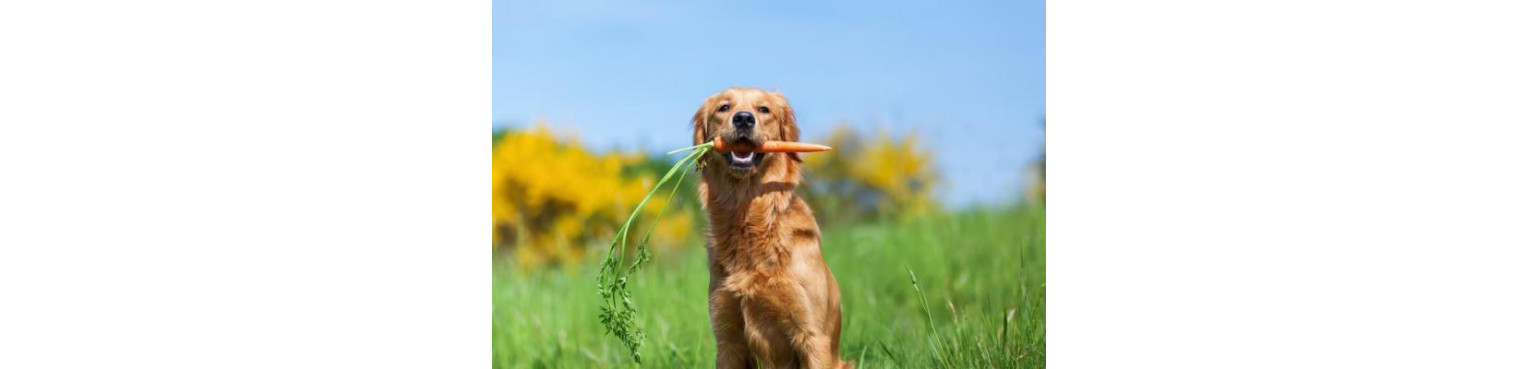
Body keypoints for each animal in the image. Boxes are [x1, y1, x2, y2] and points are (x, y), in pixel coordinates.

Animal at [695, 87, 855, 369]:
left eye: (763, 109)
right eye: (723, 108)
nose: (743, 119)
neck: (748, 217)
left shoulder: (812, 335)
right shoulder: (727, 339)